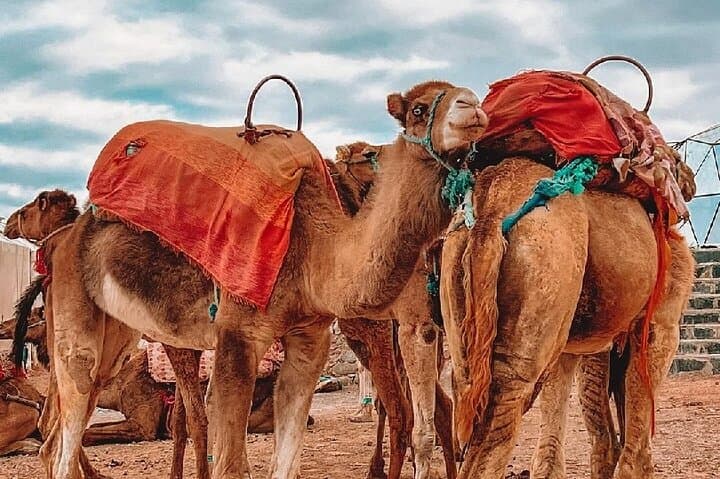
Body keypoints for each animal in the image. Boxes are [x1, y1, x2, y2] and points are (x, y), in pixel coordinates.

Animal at [39, 80, 488, 479]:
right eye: (418, 109)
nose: (473, 106)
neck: (311, 250)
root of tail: (67, 238)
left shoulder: (310, 337)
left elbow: (286, 460)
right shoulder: (236, 336)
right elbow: (230, 463)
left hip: (118, 337)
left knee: (60, 432)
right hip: (75, 315)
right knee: (69, 416)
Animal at [439, 157, 694, 478]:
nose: (690, 182)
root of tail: (491, 210)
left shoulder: (577, 340)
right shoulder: (661, 323)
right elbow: (635, 447)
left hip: (459, 283)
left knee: (469, 386)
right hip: (545, 264)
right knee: (506, 399)